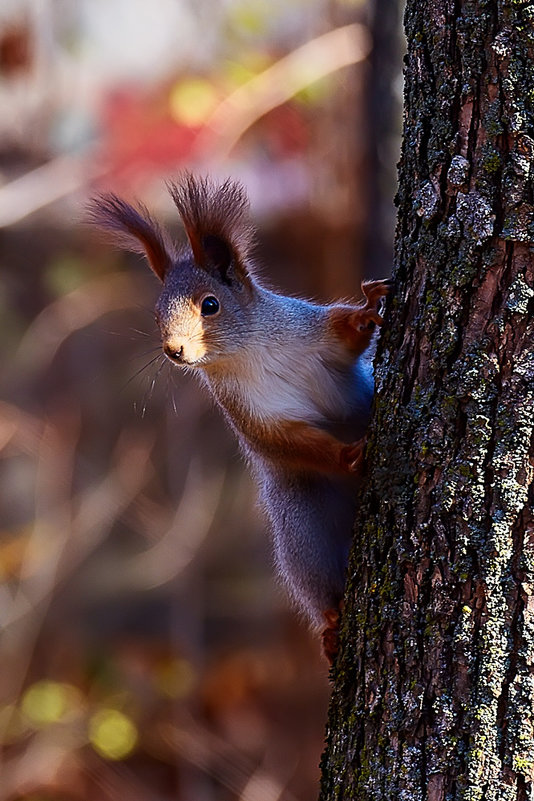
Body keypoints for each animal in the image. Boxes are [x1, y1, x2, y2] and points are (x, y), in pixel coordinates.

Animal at [90, 175, 392, 664]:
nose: (174, 351)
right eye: (156, 315)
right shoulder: (250, 414)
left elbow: (348, 336)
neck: (248, 351)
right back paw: (330, 622)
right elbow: (285, 441)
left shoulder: (311, 331)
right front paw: (349, 454)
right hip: (301, 526)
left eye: (210, 305)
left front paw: (369, 308)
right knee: (316, 580)